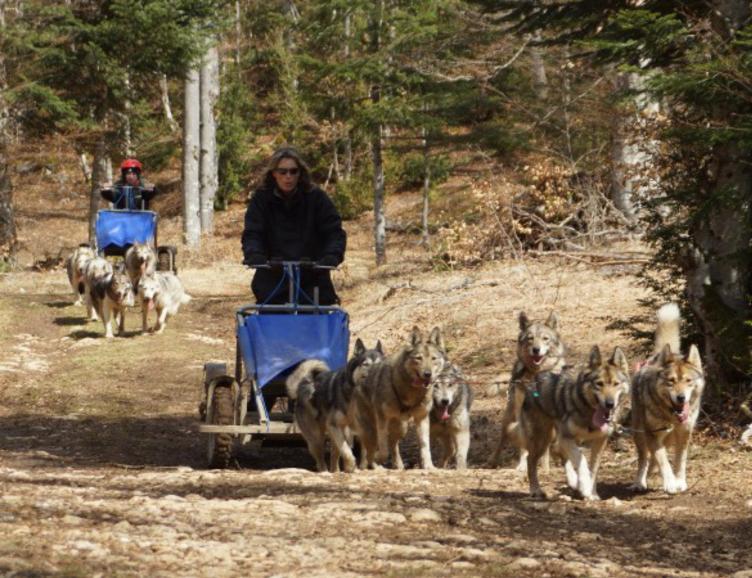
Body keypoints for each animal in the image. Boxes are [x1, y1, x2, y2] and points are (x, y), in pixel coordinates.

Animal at [284, 340, 384, 470]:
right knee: (321, 460)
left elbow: (364, 452)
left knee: (334, 458)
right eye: (365, 364)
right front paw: (351, 465)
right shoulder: (335, 426)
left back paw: (337, 471)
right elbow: (346, 450)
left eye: (379, 364)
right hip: (316, 438)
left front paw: (365, 467)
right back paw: (325, 471)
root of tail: (304, 383)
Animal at [358, 324, 446, 468]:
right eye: (419, 358)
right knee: (369, 446)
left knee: (393, 443)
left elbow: (425, 446)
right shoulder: (381, 419)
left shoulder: (422, 418)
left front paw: (429, 466)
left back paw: (397, 465)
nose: (428, 374)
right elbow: (383, 449)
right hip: (372, 425)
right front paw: (378, 458)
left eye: (433, 358)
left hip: (402, 427)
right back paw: (369, 464)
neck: (411, 391)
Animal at [490, 310, 568, 468]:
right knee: (503, 439)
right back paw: (495, 460)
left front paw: (545, 467)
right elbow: (524, 445)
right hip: (509, 418)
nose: (536, 350)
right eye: (530, 339)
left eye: (545, 339)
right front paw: (522, 466)